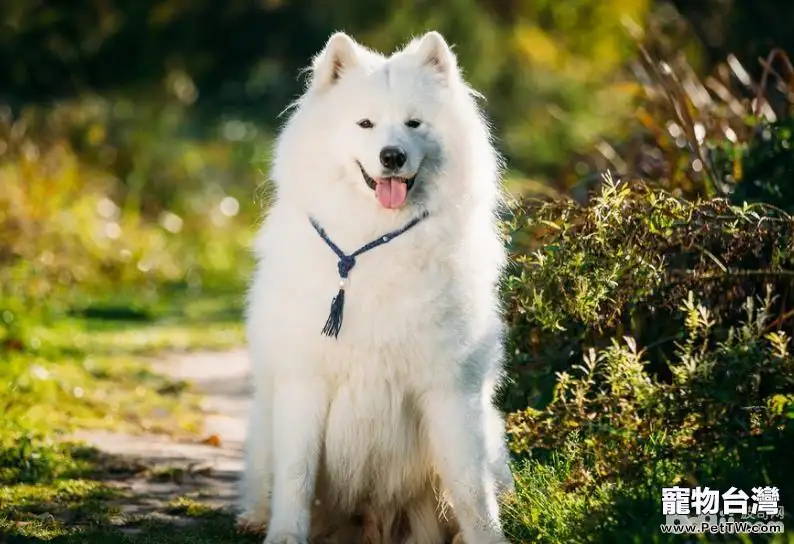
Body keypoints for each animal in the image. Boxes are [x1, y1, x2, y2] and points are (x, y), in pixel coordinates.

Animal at [240, 30, 512, 544]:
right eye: (365, 124)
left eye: (413, 123)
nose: (392, 156)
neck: (374, 244)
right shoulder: (304, 382)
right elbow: (295, 476)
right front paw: (285, 534)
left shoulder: (451, 389)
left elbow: (470, 487)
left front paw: (487, 538)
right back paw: (253, 519)